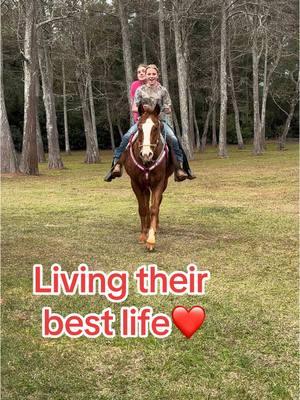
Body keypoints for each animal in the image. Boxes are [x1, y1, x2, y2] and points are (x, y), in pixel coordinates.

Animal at [122, 104, 173, 252]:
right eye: (139, 127)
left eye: (156, 127)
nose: (146, 154)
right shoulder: (135, 183)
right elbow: (143, 208)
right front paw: (143, 235)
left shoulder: (158, 183)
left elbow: (154, 208)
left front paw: (151, 240)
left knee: (157, 203)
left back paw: (154, 227)